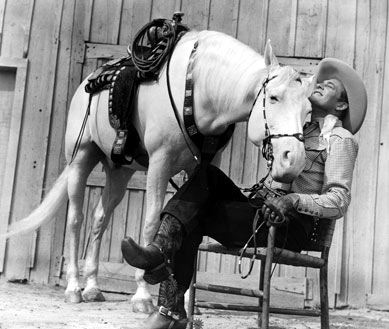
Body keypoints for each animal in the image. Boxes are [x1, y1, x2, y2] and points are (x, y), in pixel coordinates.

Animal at [3, 29, 312, 312]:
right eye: (273, 97)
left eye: (308, 111)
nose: (293, 160)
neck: (198, 88)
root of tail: (87, 85)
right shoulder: (159, 163)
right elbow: (151, 222)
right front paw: (142, 295)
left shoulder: (201, 167)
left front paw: (187, 301)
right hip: (81, 157)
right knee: (75, 220)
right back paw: (73, 288)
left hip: (119, 171)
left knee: (100, 218)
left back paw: (92, 287)